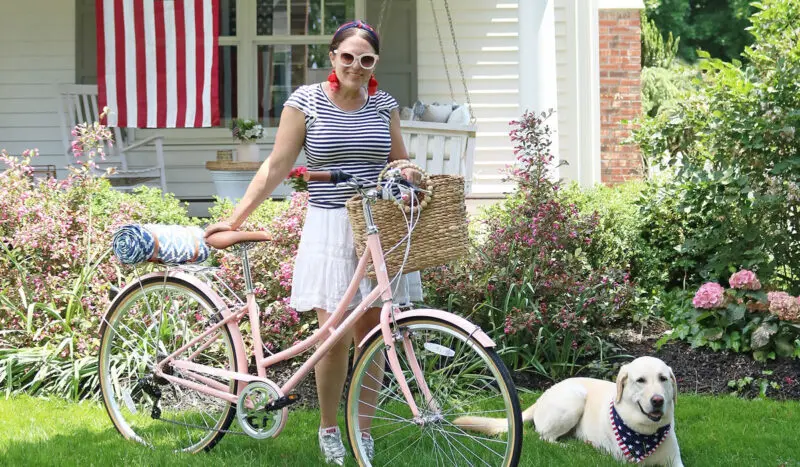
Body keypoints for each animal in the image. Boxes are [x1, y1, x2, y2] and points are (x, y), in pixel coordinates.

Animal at [456, 358, 680, 464]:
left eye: (663, 378)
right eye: (640, 380)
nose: (658, 400)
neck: (645, 432)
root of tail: (542, 395)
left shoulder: (675, 461)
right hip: (574, 398)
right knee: (545, 437)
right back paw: (570, 446)